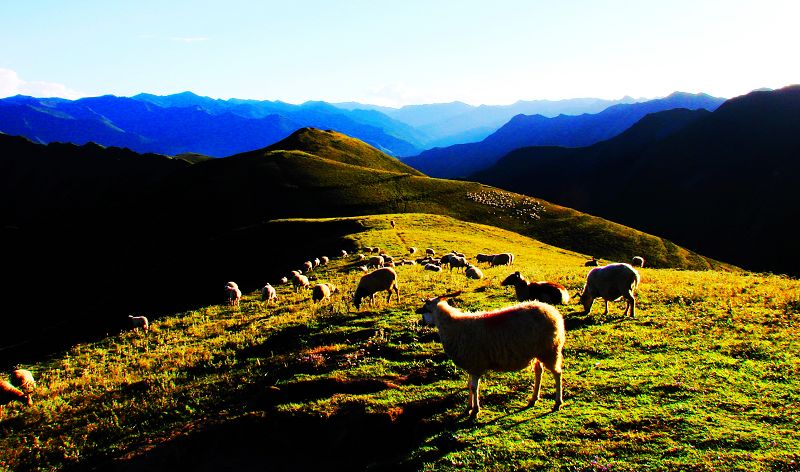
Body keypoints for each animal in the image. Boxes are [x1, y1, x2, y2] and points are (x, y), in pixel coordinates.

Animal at [416, 292, 564, 416]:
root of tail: (553, 312)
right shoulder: (471, 365)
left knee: (557, 373)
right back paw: (534, 399)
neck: (453, 326)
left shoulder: (476, 363)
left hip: (550, 350)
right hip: (539, 352)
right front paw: (469, 407)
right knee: (539, 371)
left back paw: (557, 402)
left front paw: (475, 410)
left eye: (426, 309)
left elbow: (474, 387)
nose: (422, 322)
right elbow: (469, 385)